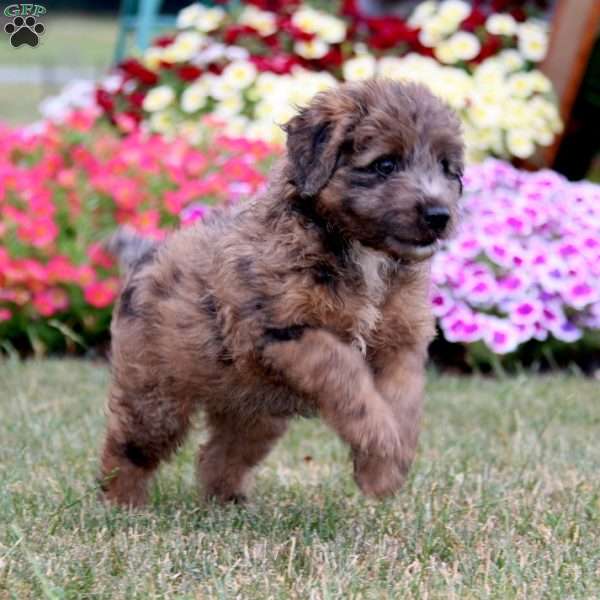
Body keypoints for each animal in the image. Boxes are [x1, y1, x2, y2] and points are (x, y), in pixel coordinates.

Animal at [99, 79, 464, 506]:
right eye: (385, 164)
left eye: (447, 167)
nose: (439, 215)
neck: (362, 252)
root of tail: (146, 254)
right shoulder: (283, 329)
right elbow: (345, 375)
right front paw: (380, 444)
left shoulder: (401, 341)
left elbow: (403, 400)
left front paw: (384, 467)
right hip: (156, 394)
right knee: (127, 449)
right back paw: (122, 504)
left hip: (254, 412)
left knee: (219, 454)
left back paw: (229, 502)